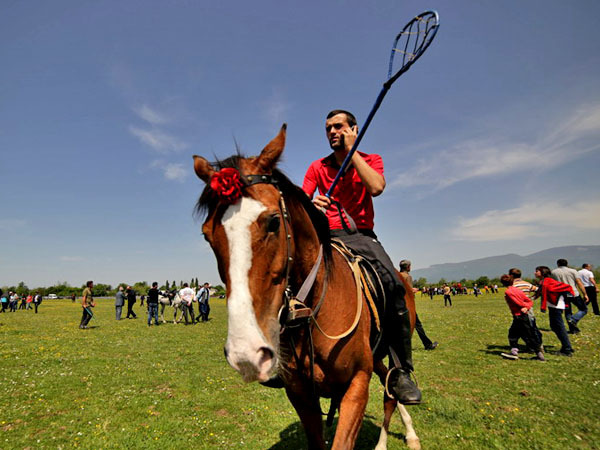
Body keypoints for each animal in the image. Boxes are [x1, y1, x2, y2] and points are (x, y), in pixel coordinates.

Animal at [193, 125, 420, 450]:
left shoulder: (356, 385)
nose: (245, 354)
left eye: (274, 221)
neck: (315, 308)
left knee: (393, 386)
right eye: (207, 234)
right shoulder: (300, 394)